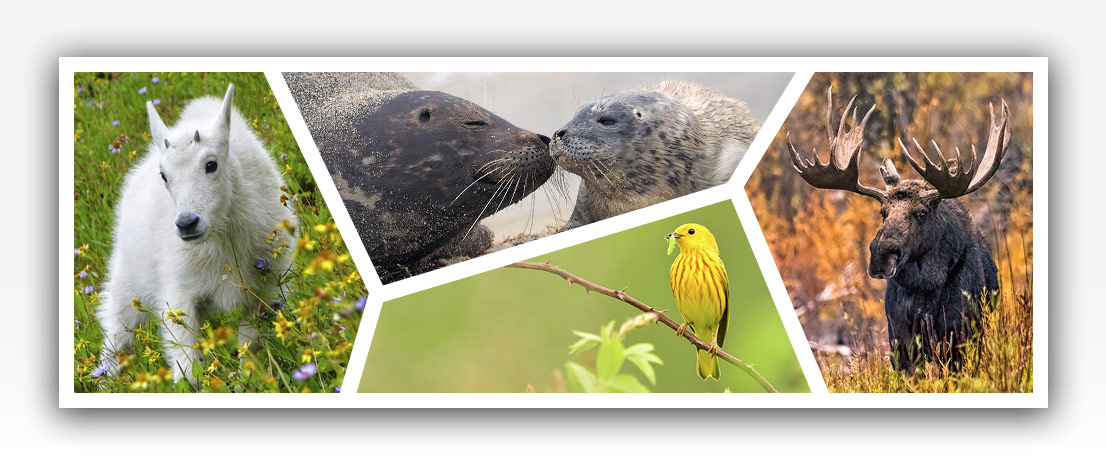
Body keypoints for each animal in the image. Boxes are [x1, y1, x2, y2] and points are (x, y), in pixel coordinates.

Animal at [786, 87, 1010, 372]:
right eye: (882, 212)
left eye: (922, 212)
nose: (881, 255)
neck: (925, 288)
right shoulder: (900, 339)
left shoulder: (961, 332)